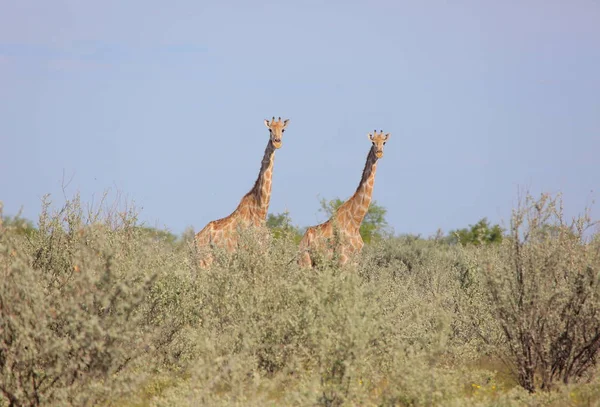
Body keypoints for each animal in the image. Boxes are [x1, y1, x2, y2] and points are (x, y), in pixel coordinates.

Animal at [196, 117, 290, 268]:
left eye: (283, 130)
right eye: (270, 129)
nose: (277, 142)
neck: (261, 212)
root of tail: (195, 239)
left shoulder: (264, 252)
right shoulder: (249, 251)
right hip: (204, 261)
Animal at [298, 131, 392, 270]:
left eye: (384, 142)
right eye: (373, 142)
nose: (379, 152)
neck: (356, 222)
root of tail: (301, 242)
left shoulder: (356, 262)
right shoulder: (343, 260)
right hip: (305, 262)